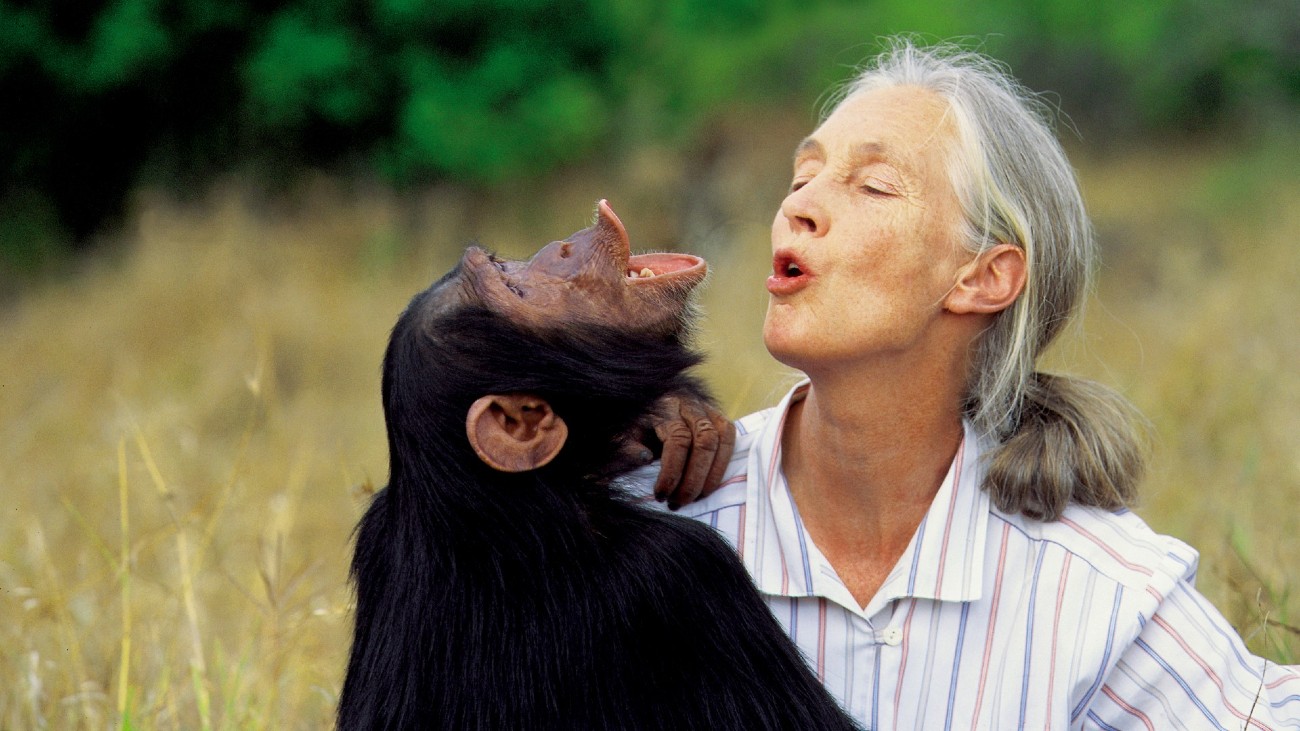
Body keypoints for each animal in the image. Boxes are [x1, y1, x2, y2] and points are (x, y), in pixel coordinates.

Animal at [340, 199, 857, 728]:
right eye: (516, 292)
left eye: (503, 269)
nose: (562, 248)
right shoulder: (685, 573)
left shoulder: (379, 529)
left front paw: (677, 415)